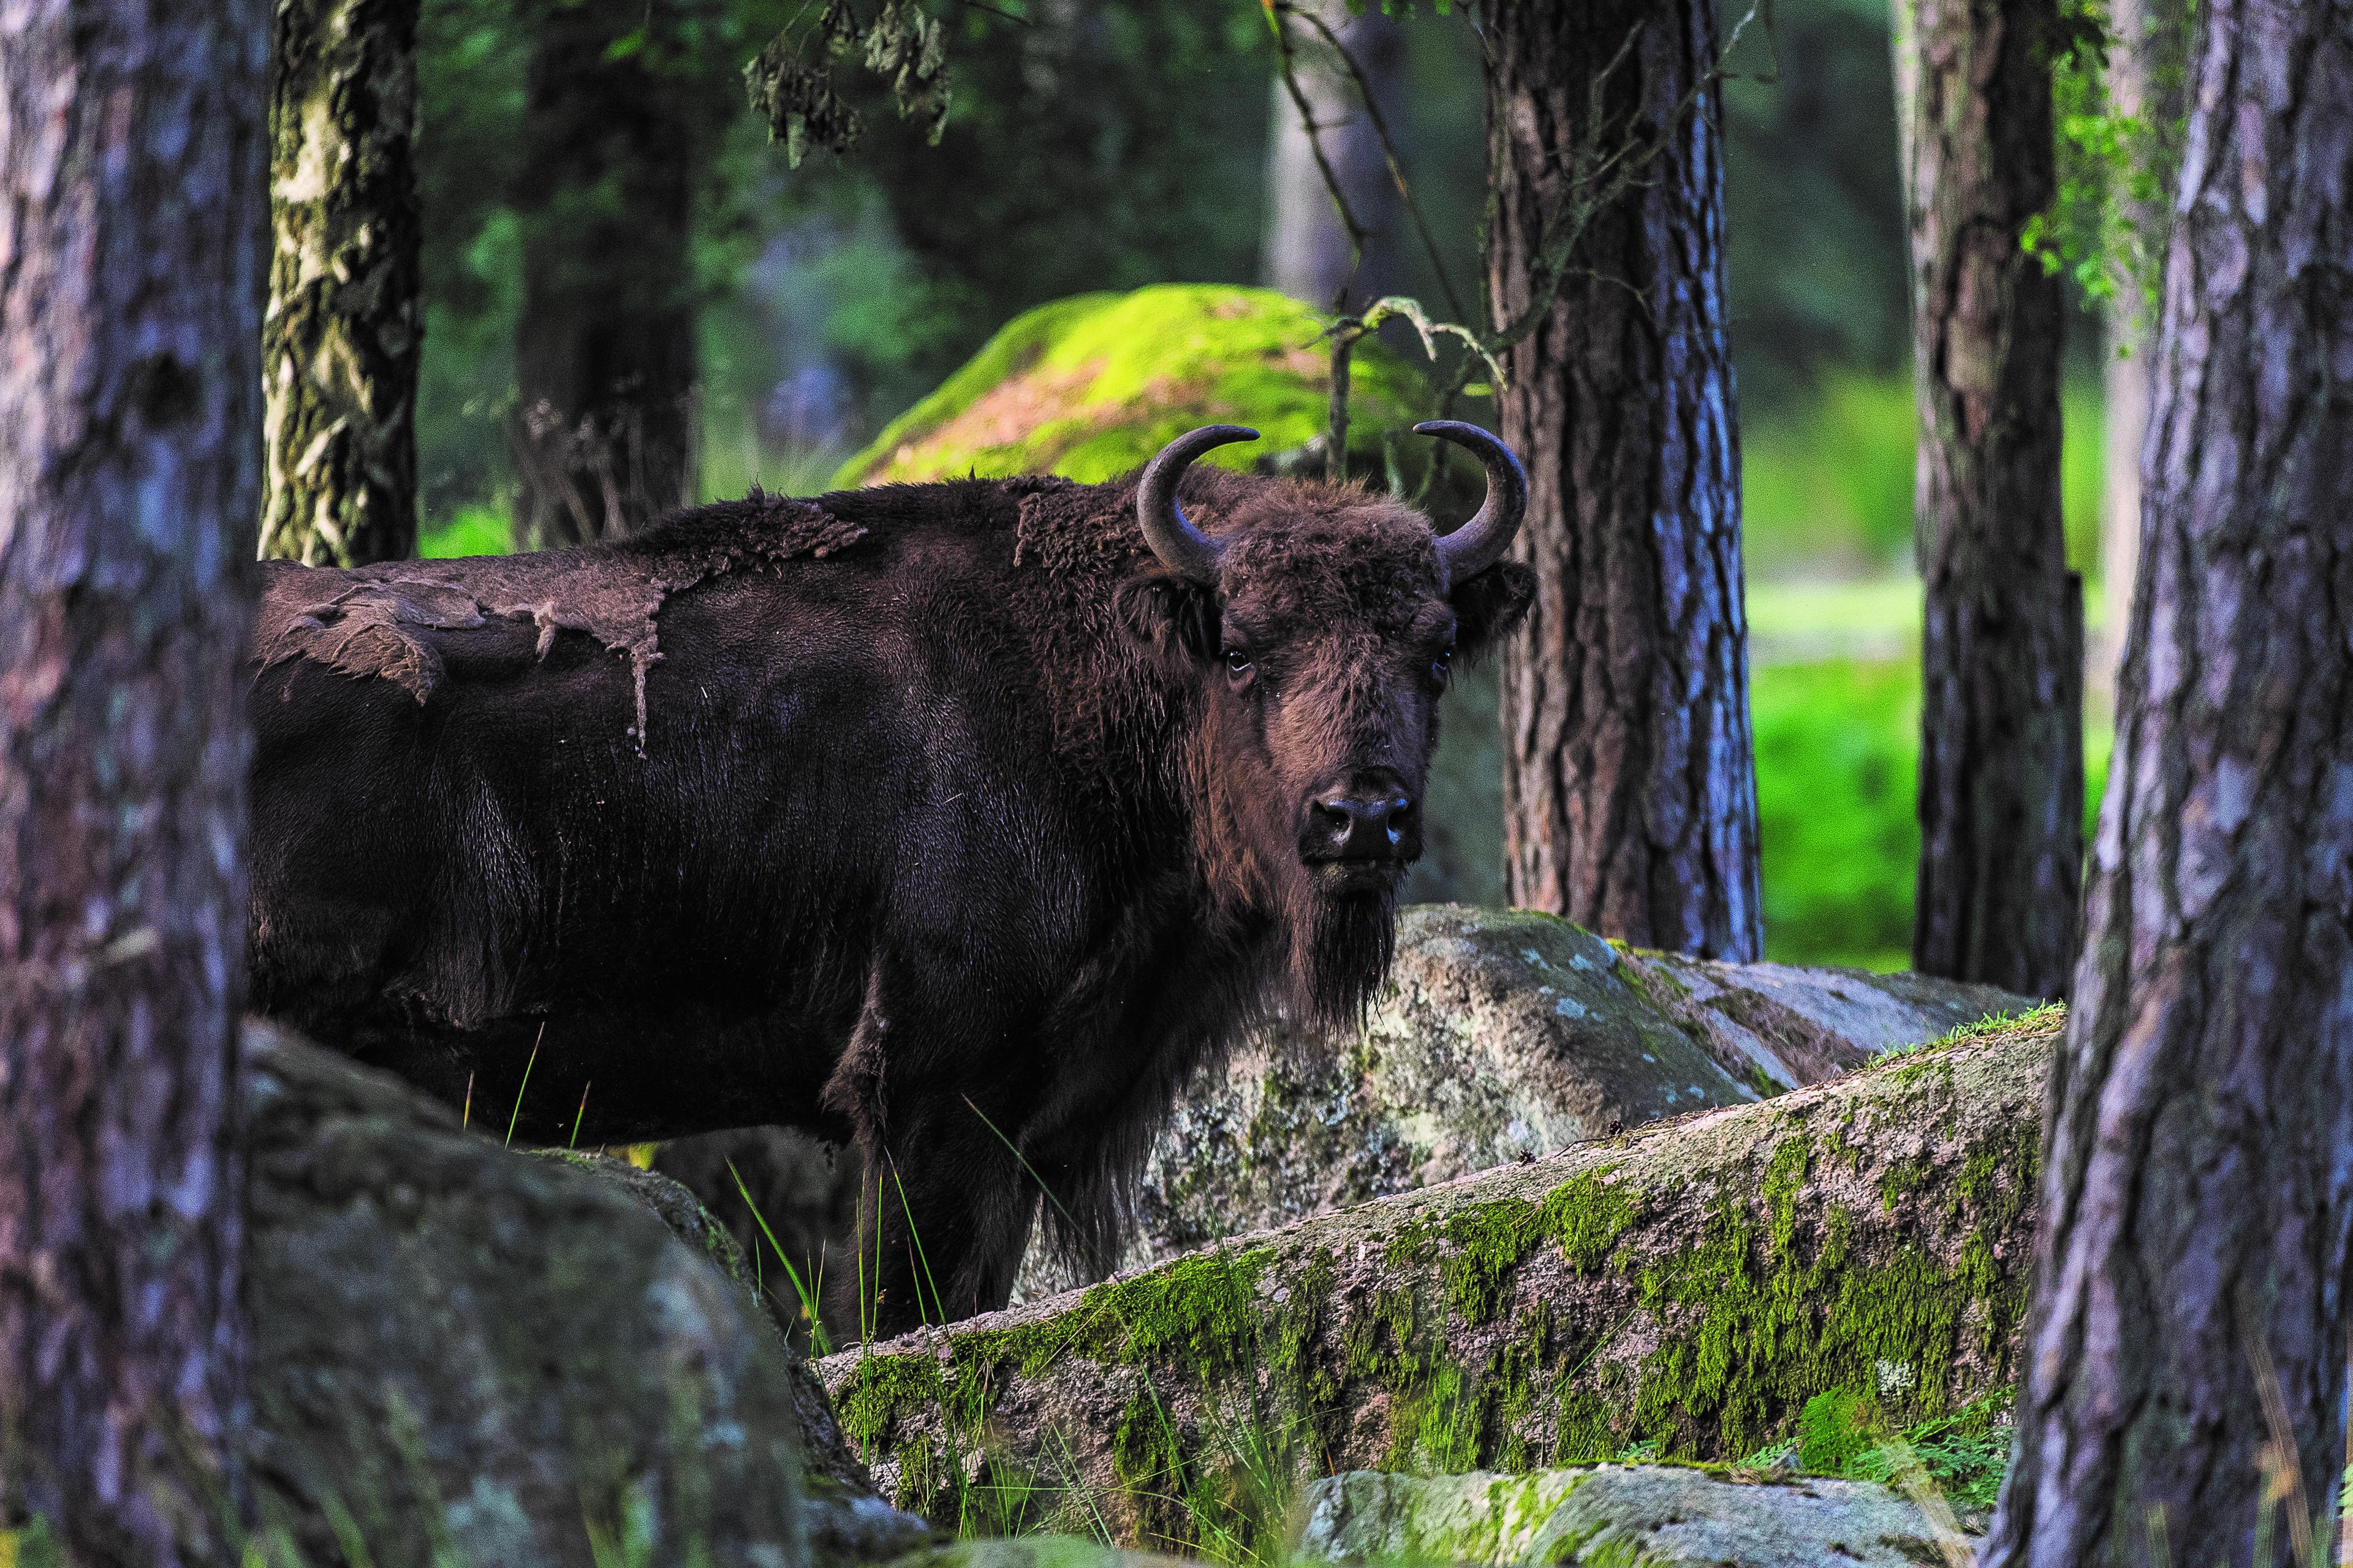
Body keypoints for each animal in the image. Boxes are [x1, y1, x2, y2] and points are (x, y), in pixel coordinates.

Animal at [248, 421, 1532, 1334]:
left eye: (1438, 648)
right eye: (1243, 646)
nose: (1361, 817)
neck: (1097, 674)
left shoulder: (1021, 1121)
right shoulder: (930, 1092)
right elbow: (902, 1308)